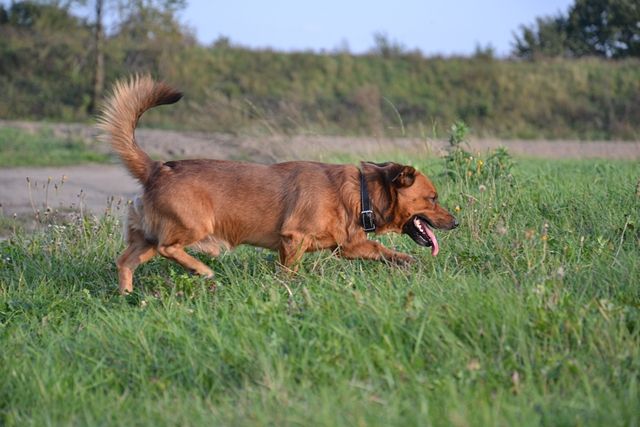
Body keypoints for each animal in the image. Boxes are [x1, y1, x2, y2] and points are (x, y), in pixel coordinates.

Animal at [98, 76, 459, 294]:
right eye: (433, 198)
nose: (456, 222)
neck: (361, 193)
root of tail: (157, 168)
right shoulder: (293, 241)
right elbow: (290, 273)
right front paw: (289, 290)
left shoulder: (350, 247)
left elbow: (386, 252)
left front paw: (408, 263)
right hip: (194, 225)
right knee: (168, 248)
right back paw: (202, 269)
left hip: (145, 237)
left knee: (125, 261)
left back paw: (127, 295)